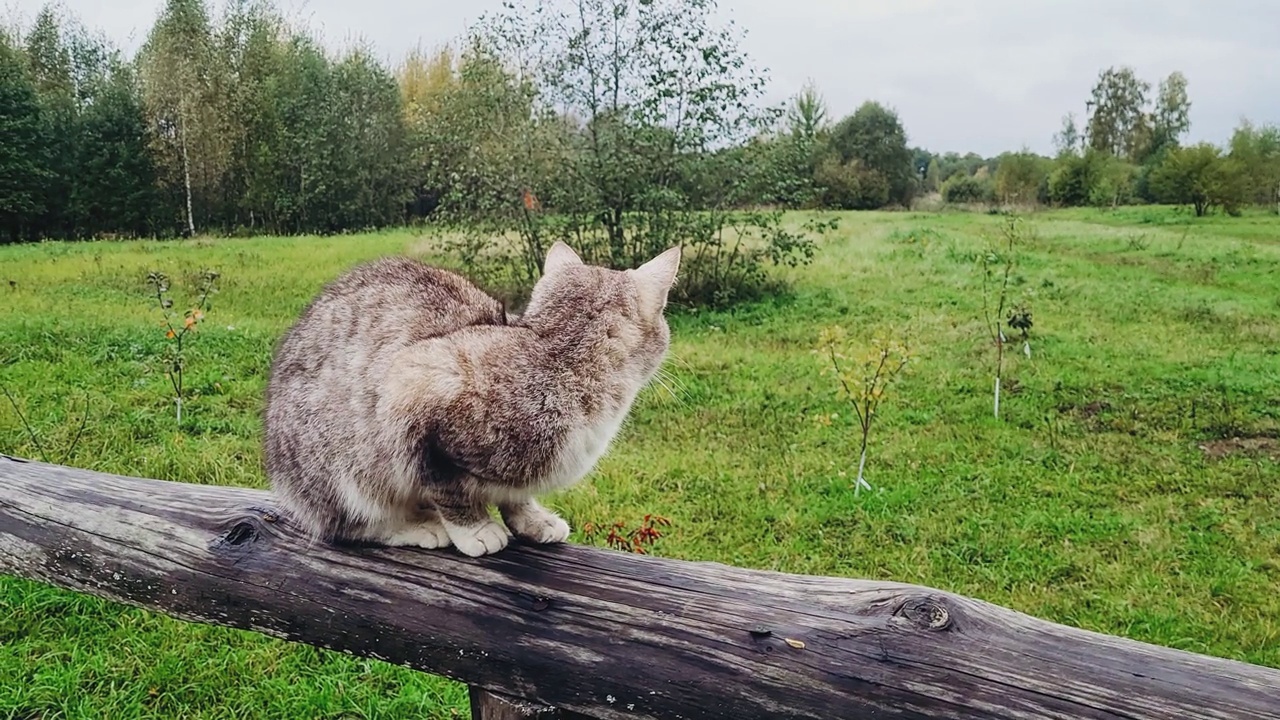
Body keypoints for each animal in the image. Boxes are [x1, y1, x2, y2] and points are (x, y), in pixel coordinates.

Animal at [261, 240, 680, 556]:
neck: (559, 357)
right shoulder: (412, 390)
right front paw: (476, 529)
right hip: (342, 468)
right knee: (343, 524)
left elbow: (516, 495)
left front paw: (533, 519)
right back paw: (415, 526)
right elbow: (447, 486)